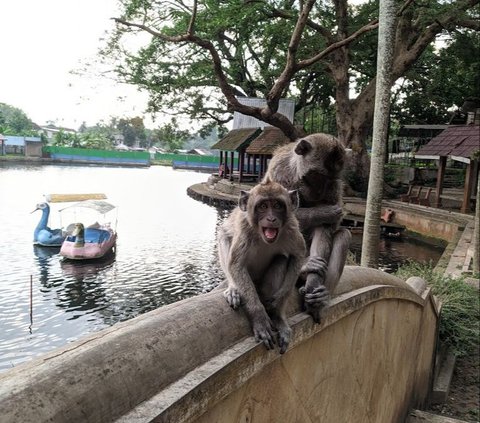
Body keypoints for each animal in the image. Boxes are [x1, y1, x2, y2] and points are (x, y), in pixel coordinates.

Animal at [217, 178, 306, 354]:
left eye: (277, 205)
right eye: (263, 206)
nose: (271, 219)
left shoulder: (291, 228)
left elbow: (298, 256)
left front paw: (278, 305)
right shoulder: (244, 229)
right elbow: (236, 265)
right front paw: (259, 318)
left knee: (281, 259)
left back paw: (276, 315)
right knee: (224, 238)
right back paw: (234, 289)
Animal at [264, 134, 350, 322]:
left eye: (330, 180)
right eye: (318, 177)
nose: (319, 192)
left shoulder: (334, 189)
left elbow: (325, 229)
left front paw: (314, 286)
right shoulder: (279, 172)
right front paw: (324, 211)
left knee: (344, 234)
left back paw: (321, 295)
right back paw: (303, 266)